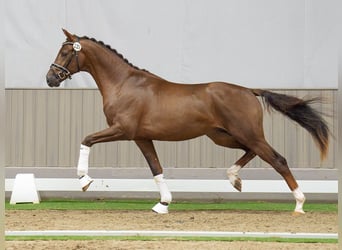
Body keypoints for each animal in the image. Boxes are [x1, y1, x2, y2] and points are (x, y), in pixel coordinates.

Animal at [46, 28, 328, 213]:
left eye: (65, 52)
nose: (50, 79)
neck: (124, 83)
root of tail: (249, 91)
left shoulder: (122, 130)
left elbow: (86, 140)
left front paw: (84, 181)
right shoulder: (141, 137)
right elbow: (156, 169)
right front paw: (163, 204)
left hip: (247, 134)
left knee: (278, 160)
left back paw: (299, 203)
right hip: (224, 136)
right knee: (252, 153)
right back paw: (234, 179)